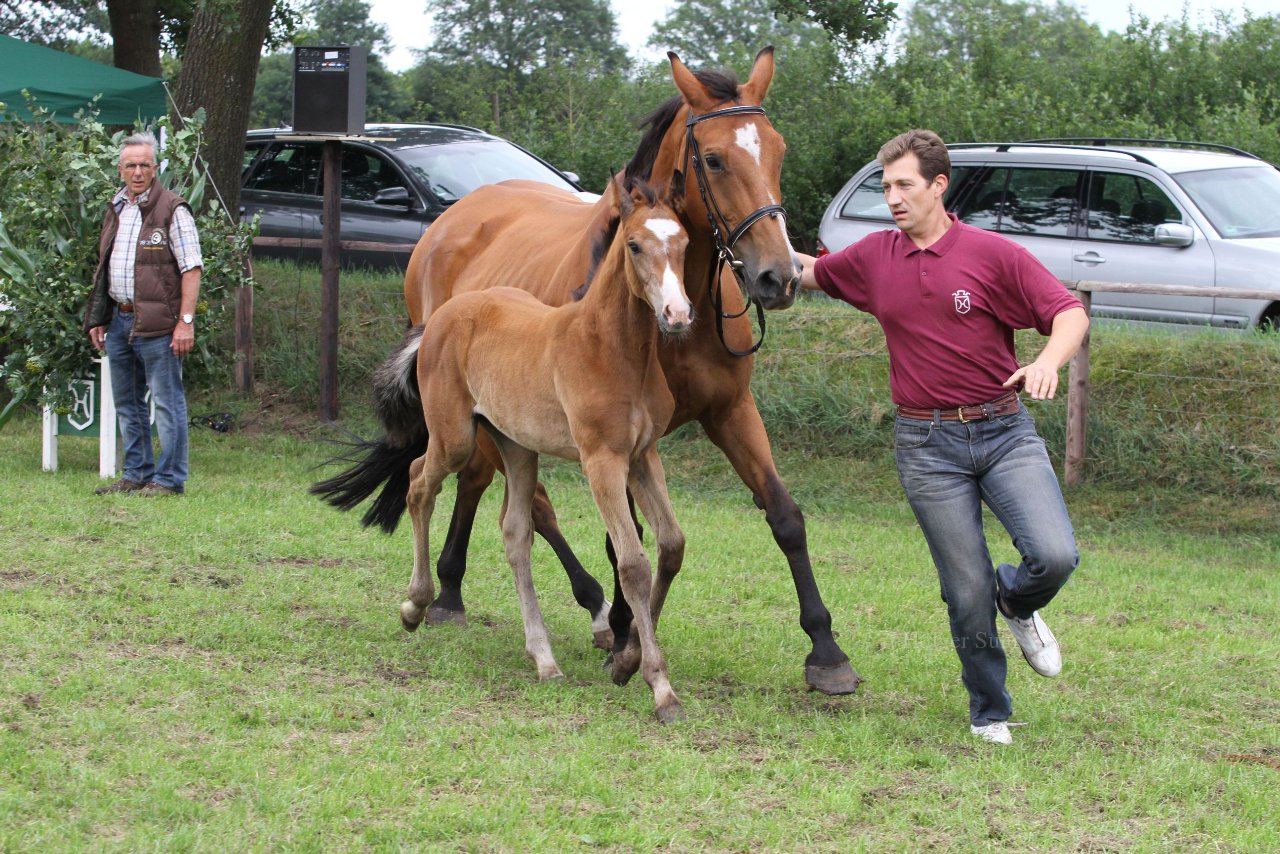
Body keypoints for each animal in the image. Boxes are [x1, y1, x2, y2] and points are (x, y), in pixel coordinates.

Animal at [314, 46, 865, 696]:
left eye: (778, 150)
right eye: (713, 158)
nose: (778, 277)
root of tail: (452, 219)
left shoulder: (728, 413)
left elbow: (783, 516)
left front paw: (826, 651)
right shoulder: (608, 441)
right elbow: (624, 540)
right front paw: (629, 638)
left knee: (481, 484)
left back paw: (453, 590)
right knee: (520, 502)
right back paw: (575, 607)